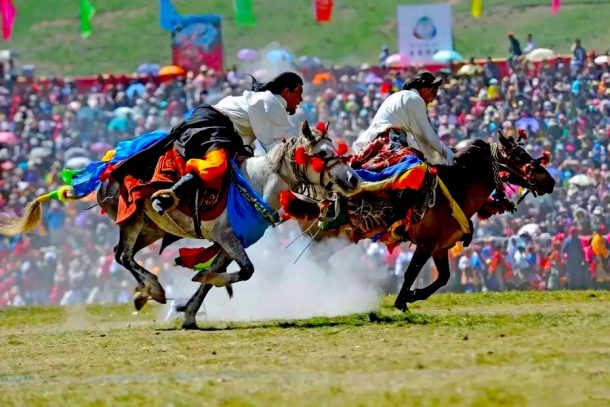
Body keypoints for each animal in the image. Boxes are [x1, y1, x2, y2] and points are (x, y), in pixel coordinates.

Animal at [296, 132, 552, 310]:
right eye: (519, 156)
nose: (549, 181)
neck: (456, 189)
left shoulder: (440, 247)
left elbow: (443, 278)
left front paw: (413, 295)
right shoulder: (426, 244)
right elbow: (411, 272)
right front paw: (402, 301)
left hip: (337, 239)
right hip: (328, 236)